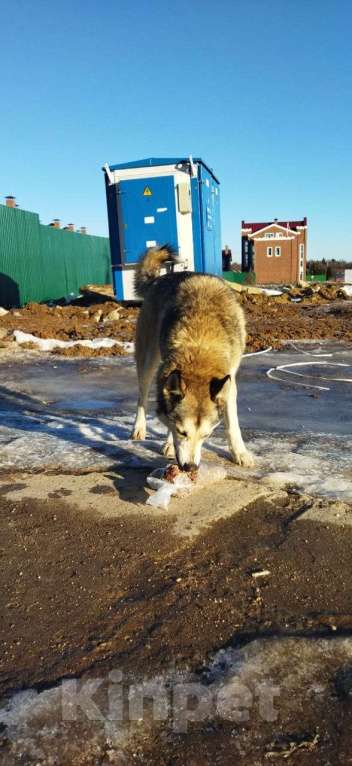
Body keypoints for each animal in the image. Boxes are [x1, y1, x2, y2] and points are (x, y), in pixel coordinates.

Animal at [131, 249, 254, 472]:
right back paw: (139, 428)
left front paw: (240, 453)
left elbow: (232, 424)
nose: (190, 468)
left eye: (207, 435)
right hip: (148, 362)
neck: (201, 342)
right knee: (141, 397)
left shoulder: (229, 383)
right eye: (182, 432)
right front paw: (169, 443)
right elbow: (168, 420)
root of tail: (160, 279)